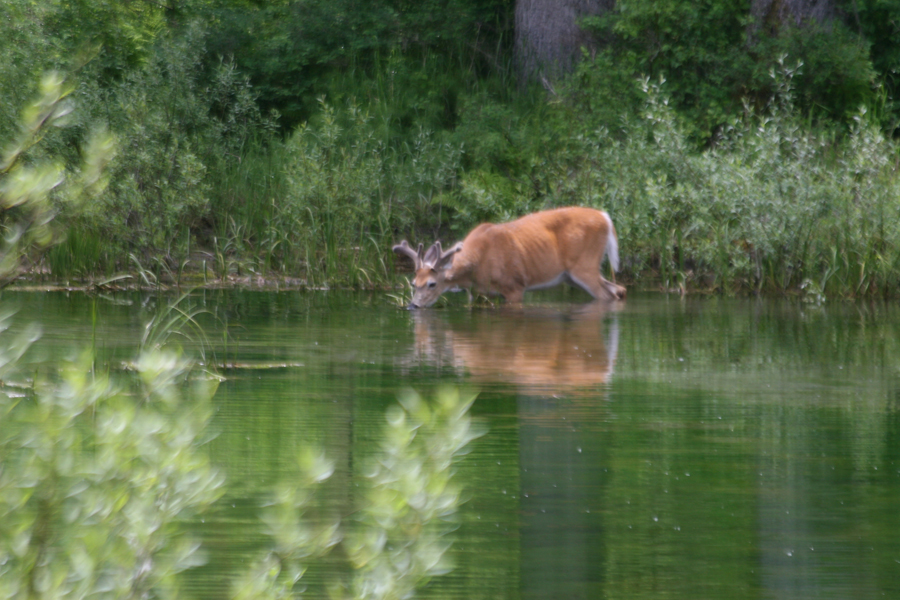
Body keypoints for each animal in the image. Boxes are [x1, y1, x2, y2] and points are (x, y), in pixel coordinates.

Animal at [392, 206, 626, 308]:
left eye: (432, 284)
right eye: (413, 283)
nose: (413, 306)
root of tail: (606, 217)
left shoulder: (514, 285)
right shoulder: (477, 293)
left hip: (584, 265)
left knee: (608, 294)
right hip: (573, 276)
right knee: (619, 289)